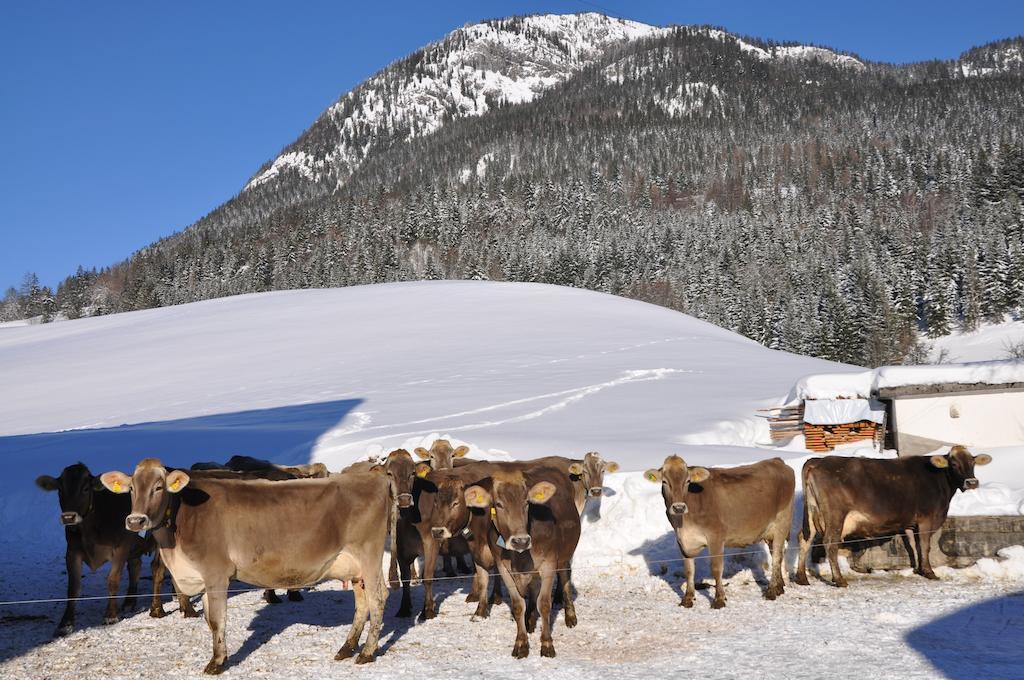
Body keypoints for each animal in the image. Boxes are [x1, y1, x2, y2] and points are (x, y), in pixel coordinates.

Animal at [102, 458, 391, 671]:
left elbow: (217, 620)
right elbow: (209, 621)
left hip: (369, 554)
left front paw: (217, 662)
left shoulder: (216, 573)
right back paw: (347, 647)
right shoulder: (203, 578)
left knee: (377, 598)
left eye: (159, 487)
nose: (135, 521)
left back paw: (366, 652)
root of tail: (373, 477)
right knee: (362, 602)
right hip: (354, 567)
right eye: (131, 489)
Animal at [464, 464, 577, 655]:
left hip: (563, 557)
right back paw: (529, 620)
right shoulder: (503, 567)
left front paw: (547, 644)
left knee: (565, 578)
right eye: (498, 504)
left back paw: (570, 615)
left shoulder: (548, 564)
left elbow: (544, 604)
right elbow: (518, 605)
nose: (521, 541)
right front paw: (521, 642)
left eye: (526, 503)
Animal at [643, 456, 794, 606]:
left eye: (688, 481)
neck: (683, 522)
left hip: (782, 522)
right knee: (776, 554)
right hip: (769, 532)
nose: (679, 507)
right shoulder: (683, 541)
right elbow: (689, 570)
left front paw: (719, 599)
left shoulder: (716, 537)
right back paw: (779, 586)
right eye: (664, 481)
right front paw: (688, 598)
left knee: (777, 557)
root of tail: (776, 460)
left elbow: (716, 568)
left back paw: (772, 590)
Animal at [790, 444, 991, 585]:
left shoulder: (911, 523)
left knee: (805, 538)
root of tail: (818, 461)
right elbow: (925, 545)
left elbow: (914, 545)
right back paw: (839, 580)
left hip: (812, 513)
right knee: (830, 543)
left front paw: (918, 569)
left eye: (973, 463)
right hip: (835, 516)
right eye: (954, 464)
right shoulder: (926, 519)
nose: (972, 482)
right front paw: (929, 572)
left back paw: (801, 577)